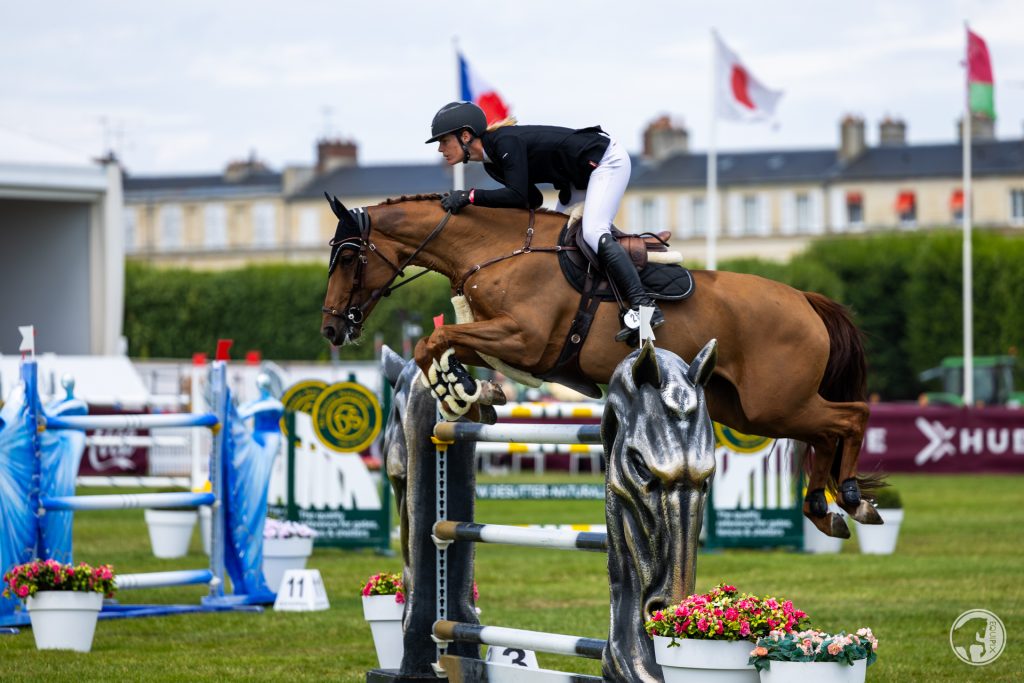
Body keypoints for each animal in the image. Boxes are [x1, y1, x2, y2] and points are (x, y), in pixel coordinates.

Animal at [323, 193, 884, 540]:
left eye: (348, 258)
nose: (332, 329)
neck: (498, 250)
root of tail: (807, 300)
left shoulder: (524, 339)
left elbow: (435, 340)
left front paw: (462, 394)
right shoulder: (501, 339)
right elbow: (442, 345)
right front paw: (475, 394)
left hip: (775, 403)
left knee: (849, 418)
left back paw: (851, 498)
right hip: (747, 410)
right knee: (823, 433)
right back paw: (824, 508)